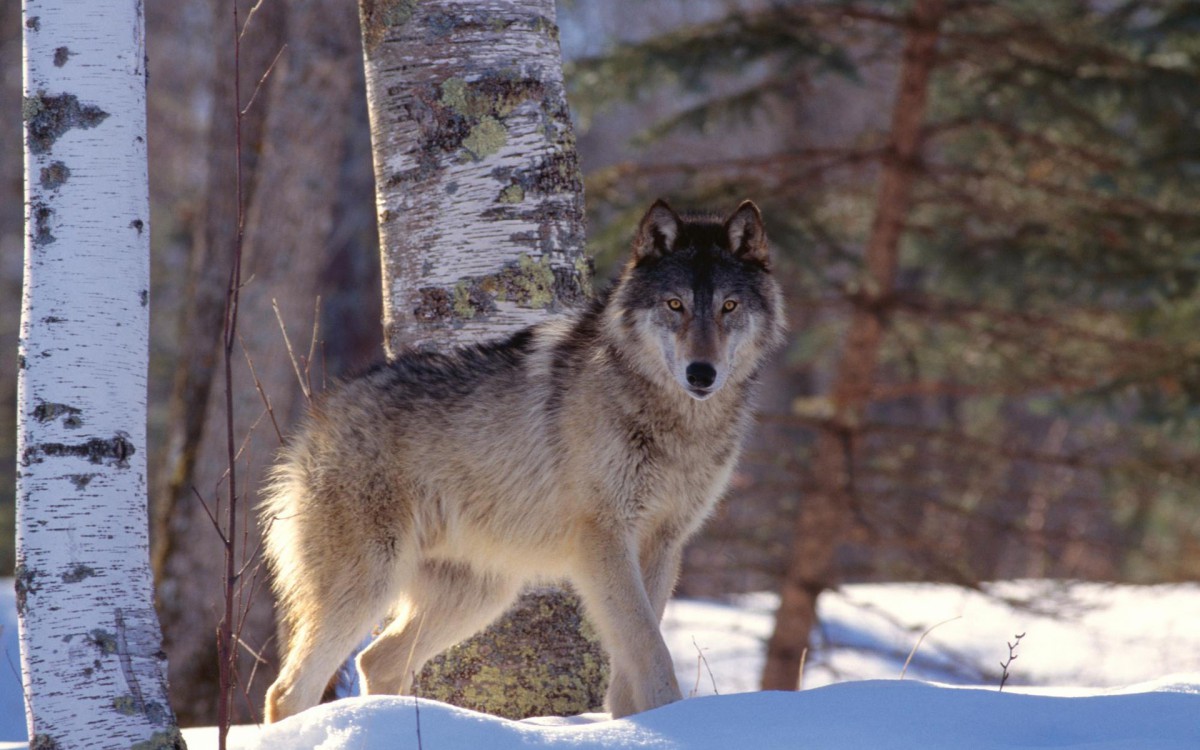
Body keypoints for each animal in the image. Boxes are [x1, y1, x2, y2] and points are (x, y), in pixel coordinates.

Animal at [262, 198, 787, 720]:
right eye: (674, 305)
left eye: (729, 306)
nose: (701, 374)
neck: (676, 424)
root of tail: (315, 418)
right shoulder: (603, 540)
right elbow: (650, 650)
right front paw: (667, 720)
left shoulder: (662, 544)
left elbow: (634, 658)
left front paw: (634, 725)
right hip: (370, 585)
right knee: (287, 690)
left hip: (480, 596)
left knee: (376, 660)